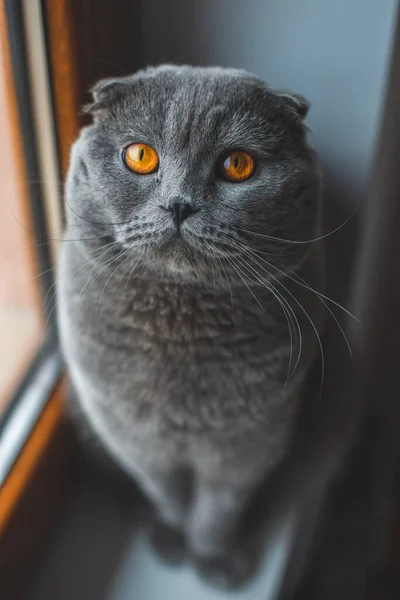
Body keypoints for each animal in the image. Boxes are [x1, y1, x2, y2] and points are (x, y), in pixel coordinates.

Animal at [57, 67, 390, 596]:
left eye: (238, 165)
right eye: (140, 155)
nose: (179, 205)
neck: (178, 333)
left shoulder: (251, 442)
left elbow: (219, 509)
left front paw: (214, 559)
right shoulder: (132, 435)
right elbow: (167, 494)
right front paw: (174, 539)